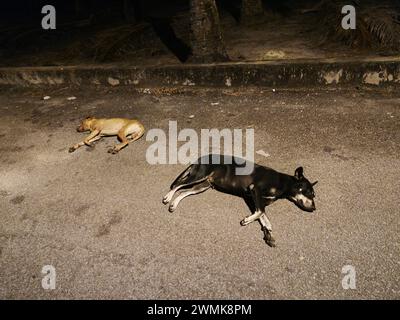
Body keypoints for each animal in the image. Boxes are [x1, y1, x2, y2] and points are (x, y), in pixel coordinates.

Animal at [161, 155, 318, 248]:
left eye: (313, 195)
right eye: (309, 192)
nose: (314, 208)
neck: (283, 183)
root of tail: (202, 157)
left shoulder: (255, 199)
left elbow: (264, 218)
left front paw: (269, 234)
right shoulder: (255, 190)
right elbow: (261, 212)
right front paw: (246, 220)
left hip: (203, 185)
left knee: (184, 191)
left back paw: (174, 204)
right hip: (199, 175)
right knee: (177, 185)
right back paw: (168, 197)